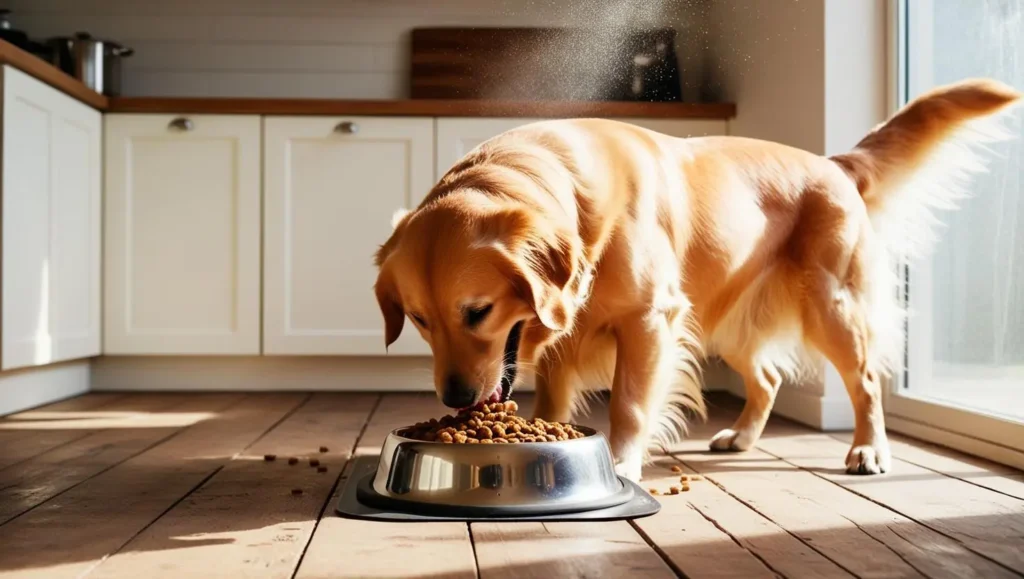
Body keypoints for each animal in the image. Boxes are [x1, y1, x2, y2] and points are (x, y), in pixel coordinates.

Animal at [372, 79, 1019, 479]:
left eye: (477, 311)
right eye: (421, 320)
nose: (456, 398)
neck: (572, 194)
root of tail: (832, 164)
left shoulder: (649, 321)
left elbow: (631, 405)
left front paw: (623, 462)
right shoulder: (563, 335)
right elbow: (555, 397)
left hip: (831, 305)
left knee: (863, 382)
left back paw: (868, 449)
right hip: (727, 322)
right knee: (768, 377)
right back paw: (741, 437)